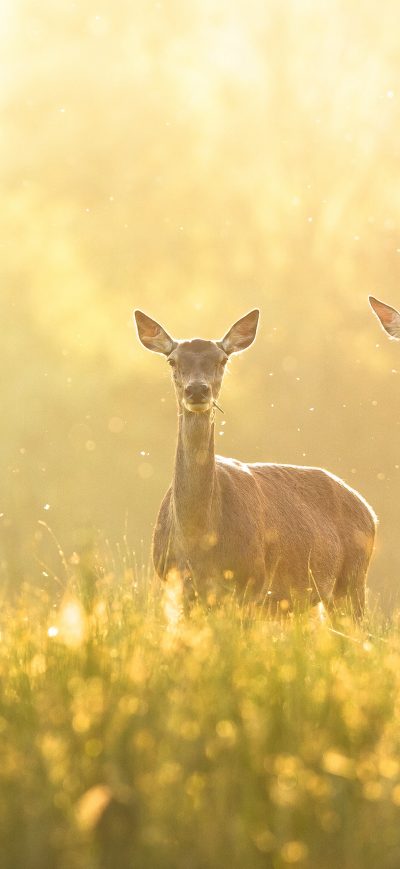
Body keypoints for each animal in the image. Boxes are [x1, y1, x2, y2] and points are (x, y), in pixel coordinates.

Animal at [134, 309, 376, 617]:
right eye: (172, 360)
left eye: (222, 359)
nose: (197, 390)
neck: (198, 541)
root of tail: (370, 512)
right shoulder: (177, 585)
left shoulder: (251, 585)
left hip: (353, 582)